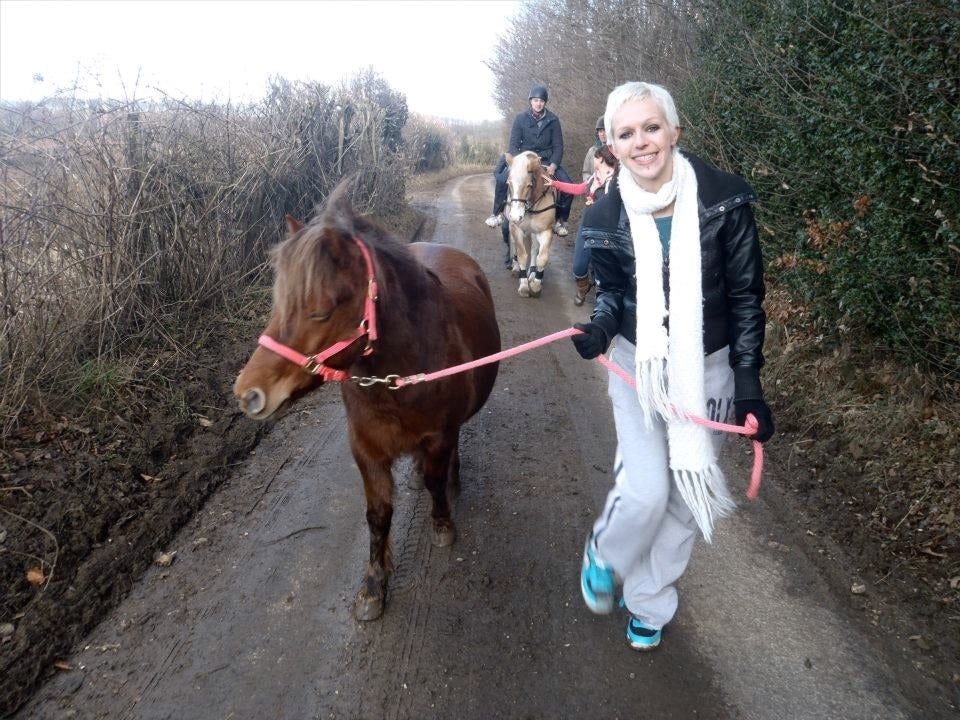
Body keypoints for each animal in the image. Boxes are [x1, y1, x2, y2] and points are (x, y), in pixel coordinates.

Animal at [233, 180, 501, 621]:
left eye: (320, 310)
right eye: (278, 302)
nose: (247, 394)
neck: (399, 381)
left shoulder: (438, 435)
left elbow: (435, 482)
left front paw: (442, 524)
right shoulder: (366, 450)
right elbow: (378, 516)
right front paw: (374, 585)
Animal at [504, 151, 557, 298]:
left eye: (528, 185)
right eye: (508, 183)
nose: (516, 216)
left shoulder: (545, 231)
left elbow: (542, 257)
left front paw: (535, 285)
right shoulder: (516, 228)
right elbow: (522, 255)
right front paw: (523, 286)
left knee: (534, 249)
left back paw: (532, 273)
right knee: (516, 246)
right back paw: (516, 267)